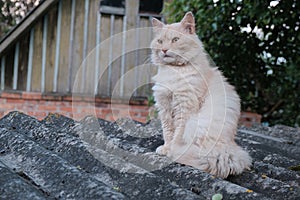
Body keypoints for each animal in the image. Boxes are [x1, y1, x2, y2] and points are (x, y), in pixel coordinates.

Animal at [151, 11, 252, 178]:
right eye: (160, 41)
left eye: (175, 40)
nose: (164, 50)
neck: (175, 70)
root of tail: (228, 148)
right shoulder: (164, 106)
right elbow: (168, 132)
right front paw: (165, 148)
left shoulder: (184, 107)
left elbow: (176, 134)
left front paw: (171, 151)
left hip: (196, 124)